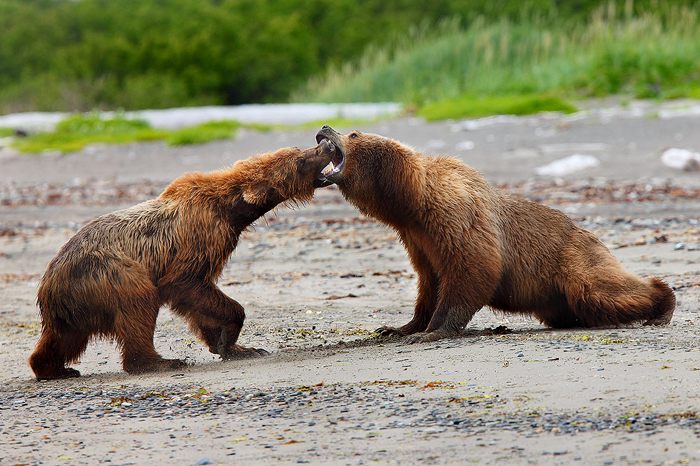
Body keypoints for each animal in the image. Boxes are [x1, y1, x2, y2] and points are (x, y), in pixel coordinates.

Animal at [29, 141, 335, 380]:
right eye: (300, 160)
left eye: (297, 150)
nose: (326, 145)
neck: (232, 210)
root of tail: (49, 283)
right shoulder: (198, 240)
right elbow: (187, 284)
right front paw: (230, 336)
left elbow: (201, 300)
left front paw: (236, 347)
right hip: (110, 273)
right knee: (138, 305)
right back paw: (159, 362)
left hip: (76, 302)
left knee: (63, 337)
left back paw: (55, 368)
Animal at [315, 125, 675, 343]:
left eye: (354, 133)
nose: (324, 128)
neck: (412, 203)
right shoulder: (418, 239)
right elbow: (429, 284)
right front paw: (397, 327)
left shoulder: (456, 220)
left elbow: (471, 271)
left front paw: (432, 331)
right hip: (555, 295)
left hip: (573, 260)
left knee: (602, 289)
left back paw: (663, 302)